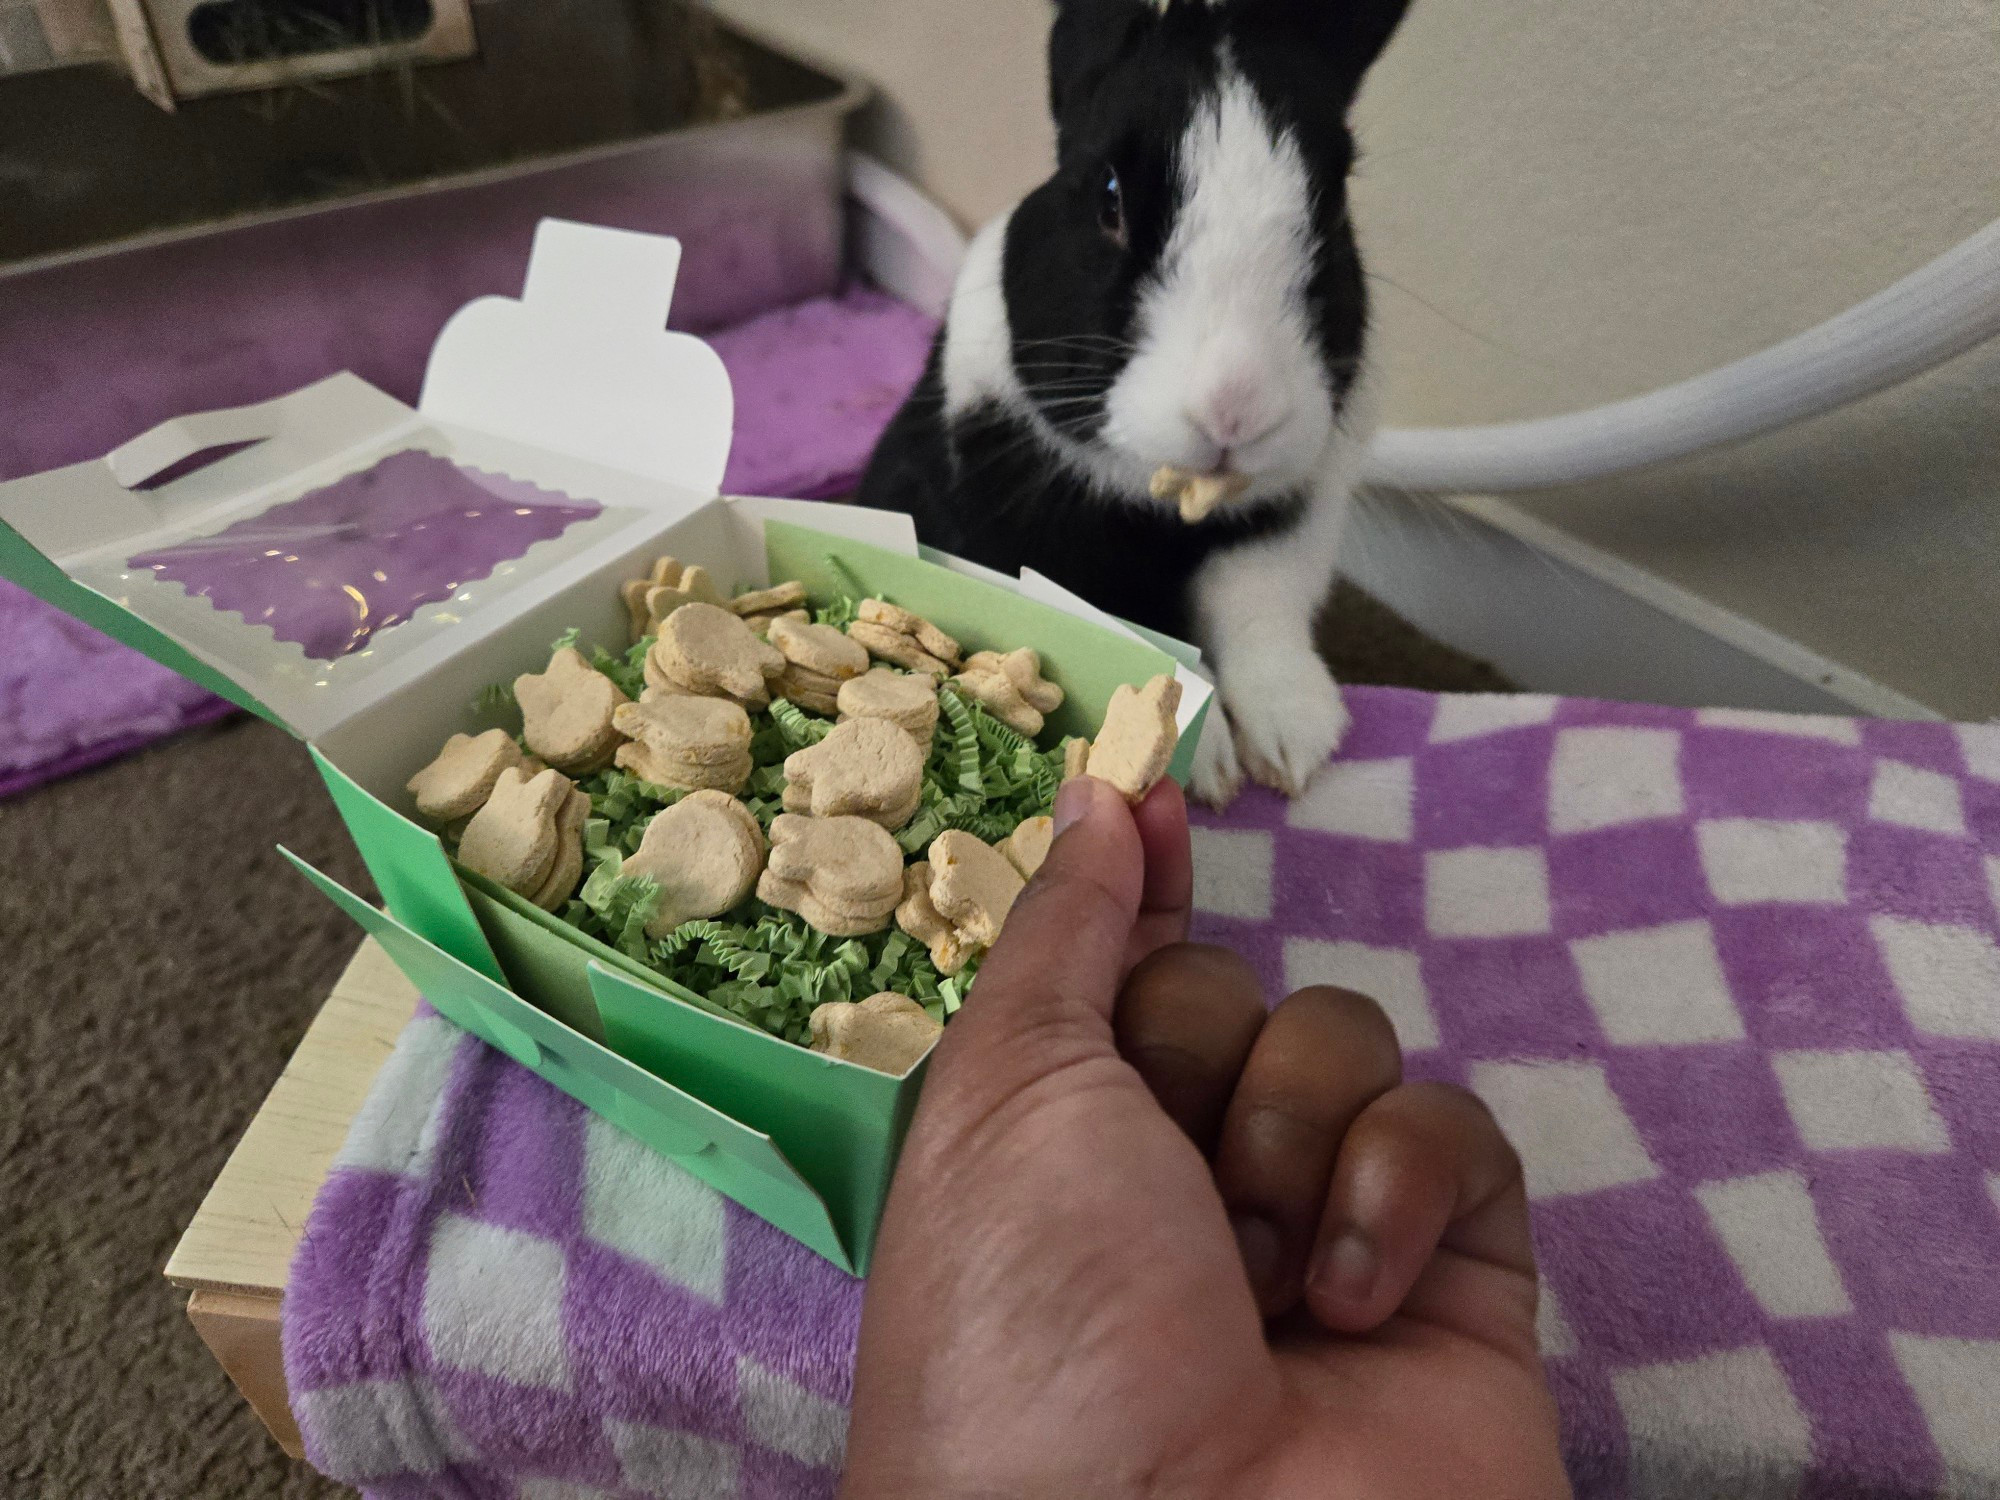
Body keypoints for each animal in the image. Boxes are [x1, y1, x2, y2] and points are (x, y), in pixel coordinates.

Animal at [856, 0, 1408, 812]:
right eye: (1108, 196)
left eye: (1334, 203)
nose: (1234, 408)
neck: (1168, 503)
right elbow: (1145, 641)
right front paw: (1206, 764)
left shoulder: (1281, 530)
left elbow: (1257, 614)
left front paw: (1294, 747)